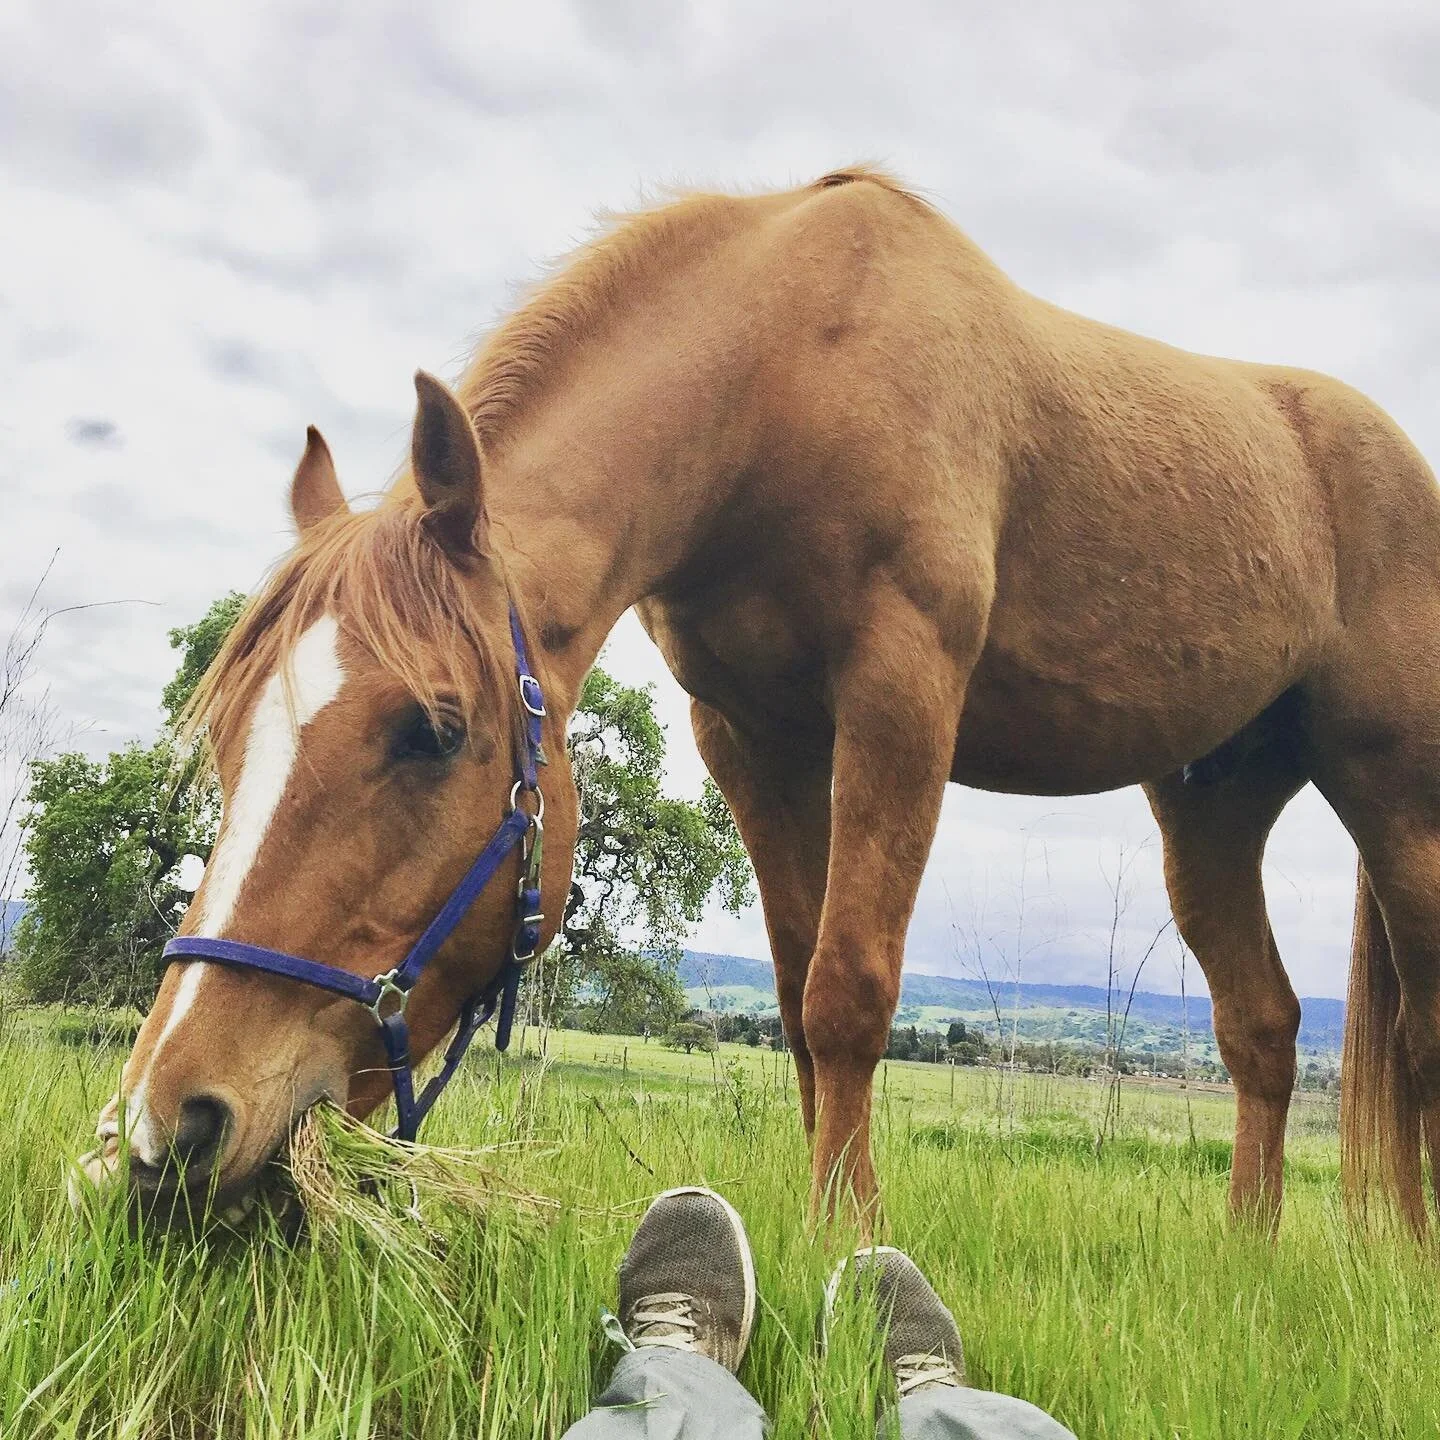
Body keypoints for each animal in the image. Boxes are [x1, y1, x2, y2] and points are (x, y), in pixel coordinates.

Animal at [78, 166, 1440, 1234]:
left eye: (432, 732)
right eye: (230, 742)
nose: (161, 1129)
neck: (786, 377)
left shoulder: (899, 697)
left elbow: (850, 990)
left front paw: (851, 1239)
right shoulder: (757, 739)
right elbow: (792, 998)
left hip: (1397, 808)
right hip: (1208, 809)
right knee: (1264, 1027)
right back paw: (1249, 1254)